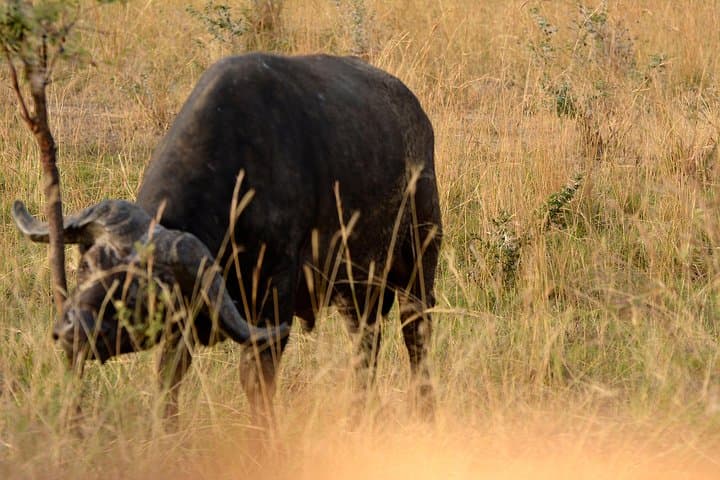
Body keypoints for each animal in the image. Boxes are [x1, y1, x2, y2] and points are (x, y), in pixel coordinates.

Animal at [13, 53, 442, 421]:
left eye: (137, 291)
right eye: (86, 265)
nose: (73, 329)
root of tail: (417, 117)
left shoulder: (272, 303)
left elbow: (256, 383)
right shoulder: (184, 324)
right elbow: (169, 378)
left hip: (418, 265)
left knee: (416, 335)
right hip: (355, 291)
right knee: (365, 348)